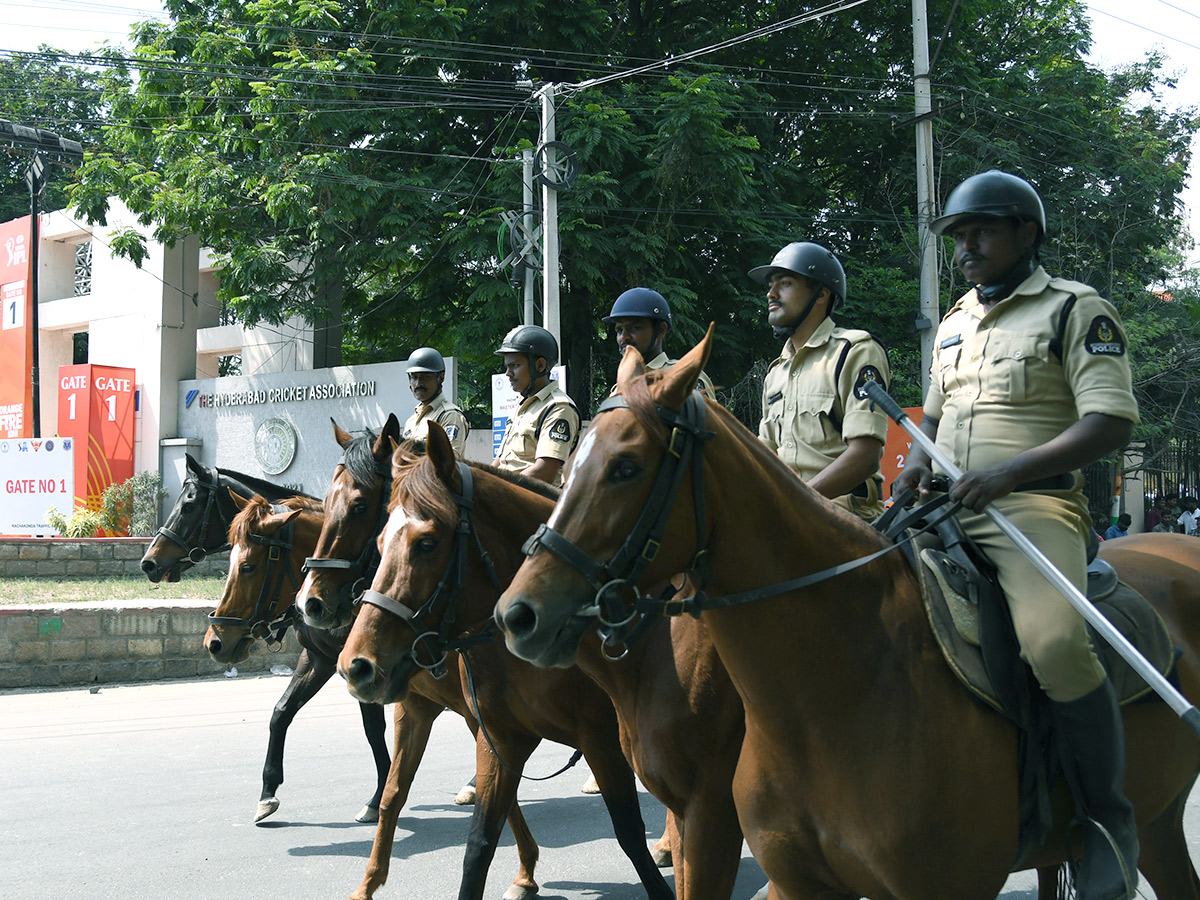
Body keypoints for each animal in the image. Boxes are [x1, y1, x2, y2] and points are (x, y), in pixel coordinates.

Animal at [206, 489, 544, 900]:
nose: (216, 642)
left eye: (249, 567)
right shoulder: (323, 660)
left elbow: (376, 732)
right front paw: (268, 792)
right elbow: (282, 712)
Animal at [338, 422, 748, 900]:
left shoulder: (601, 740)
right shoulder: (500, 738)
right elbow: (478, 843)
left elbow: (629, 831)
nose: (355, 665)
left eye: (426, 543)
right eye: (381, 541)